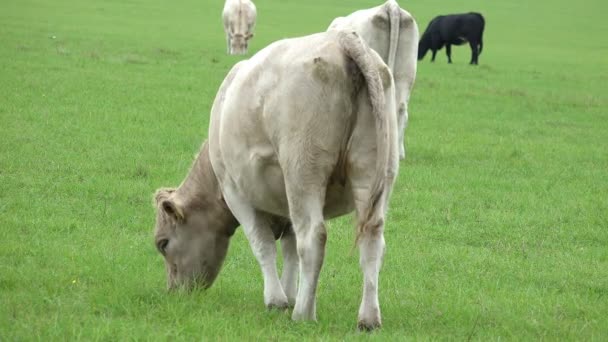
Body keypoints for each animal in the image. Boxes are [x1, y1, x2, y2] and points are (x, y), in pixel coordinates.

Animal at [152, 30, 400, 330]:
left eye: (163, 243)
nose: (174, 292)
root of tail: (341, 39)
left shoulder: (237, 193)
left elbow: (263, 245)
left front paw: (278, 300)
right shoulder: (285, 205)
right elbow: (290, 249)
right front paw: (290, 293)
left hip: (302, 170)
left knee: (313, 238)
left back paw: (303, 314)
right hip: (375, 170)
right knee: (372, 239)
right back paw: (368, 318)